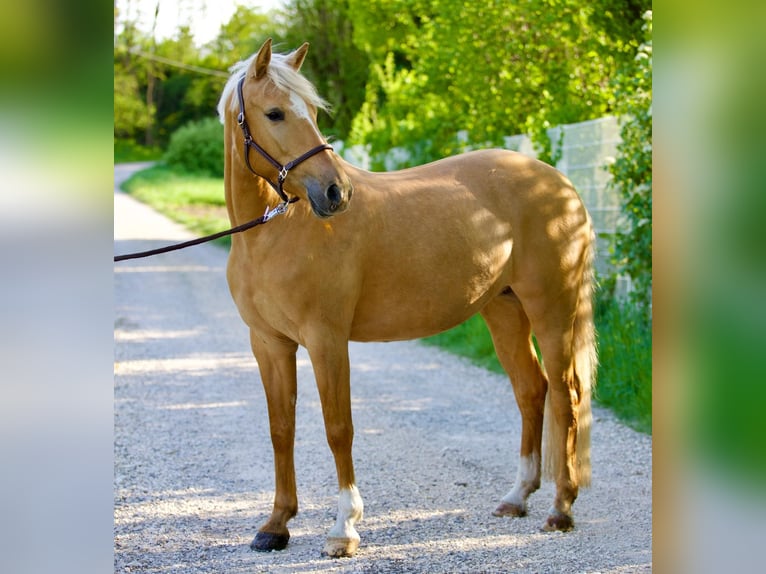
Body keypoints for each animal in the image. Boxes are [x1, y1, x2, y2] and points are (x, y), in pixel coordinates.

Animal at [218, 39, 600, 560]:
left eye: (312, 112)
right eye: (274, 113)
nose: (336, 192)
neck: (274, 233)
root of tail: (560, 184)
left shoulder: (326, 340)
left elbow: (339, 428)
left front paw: (344, 528)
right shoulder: (268, 343)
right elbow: (282, 429)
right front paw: (276, 525)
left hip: (552, 309)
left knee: (566, 395)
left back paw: (561, 508)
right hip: (504, 309)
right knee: (531, 389)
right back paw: (517, 497)